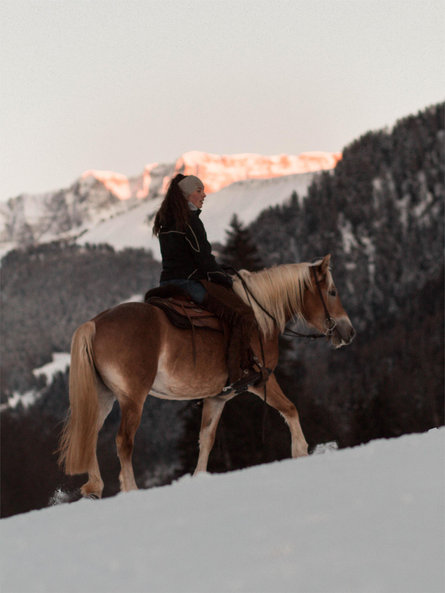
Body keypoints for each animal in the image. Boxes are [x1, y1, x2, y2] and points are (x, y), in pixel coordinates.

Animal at [57, 252, 354, 498]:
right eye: (332, 291)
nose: (349, 332)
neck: (260, 317)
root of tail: (94, 324)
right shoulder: (262, 380)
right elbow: (291, 409)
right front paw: (301, 451)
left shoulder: (217, 398)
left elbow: (206, 439)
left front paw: (199, 477)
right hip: (132, 398)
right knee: (124, 441)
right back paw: (131, 490)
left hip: (103, 398)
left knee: (90, 435)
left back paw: (94, 488)